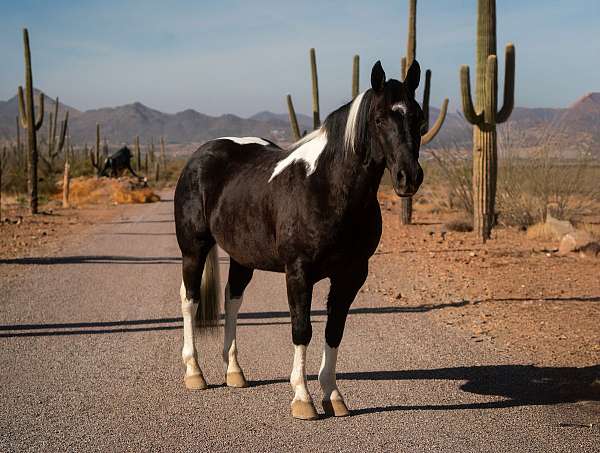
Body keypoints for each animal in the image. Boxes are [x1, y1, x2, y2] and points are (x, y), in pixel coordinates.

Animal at [173, 61, 424, 420]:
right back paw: (195, 372)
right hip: (193, 249)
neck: (327, 186)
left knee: (232, 300)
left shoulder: (351, 275)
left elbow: (334, 331)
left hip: (242, 257)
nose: (408, 177)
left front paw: (333, 396)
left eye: (418, 117)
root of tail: (200, 155)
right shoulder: (299, 273)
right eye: (379, 119)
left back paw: (234, 372)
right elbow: (301, 329)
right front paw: (303, 399)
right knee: (190, 299)